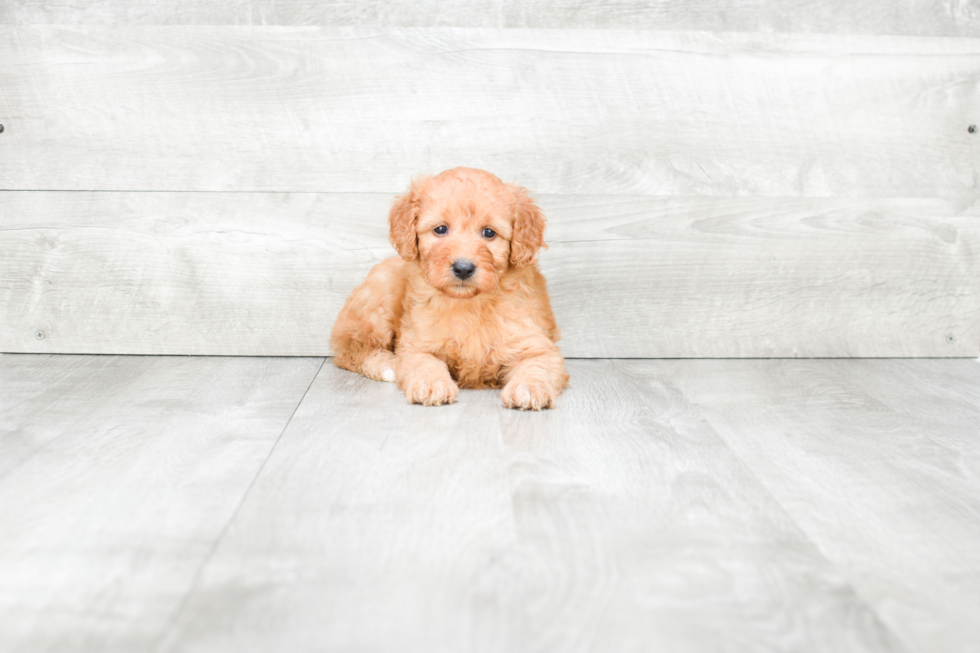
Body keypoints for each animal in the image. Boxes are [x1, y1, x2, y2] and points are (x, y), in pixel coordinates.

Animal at [330, 167, 568, 408]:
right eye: (441, 229)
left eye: (489, 233)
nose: (463, 268)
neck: (469, 303)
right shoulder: (417, 343)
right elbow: (425, 363)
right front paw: (431, 384)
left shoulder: (534, 342)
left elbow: (536, 366)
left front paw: (529, 389)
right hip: (378, 299)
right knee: (350, 351)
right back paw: (387, 365)